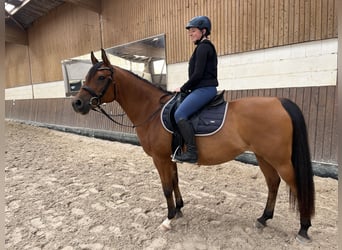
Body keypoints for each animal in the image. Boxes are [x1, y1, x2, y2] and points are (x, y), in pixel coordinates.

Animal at [72, 48, 316, 242]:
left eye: (101, 77)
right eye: (86, 76)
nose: (77, 103)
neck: (151, 110)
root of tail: (279, 102)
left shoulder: (159, 158)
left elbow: (166, 187)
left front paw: (168, 218)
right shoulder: (170, 157)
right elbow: (175, 181)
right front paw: (179, 209)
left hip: (280, 160)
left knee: (295, 185)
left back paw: (303, 229)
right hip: (262, 156)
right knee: (273, 183)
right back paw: (263, 218)